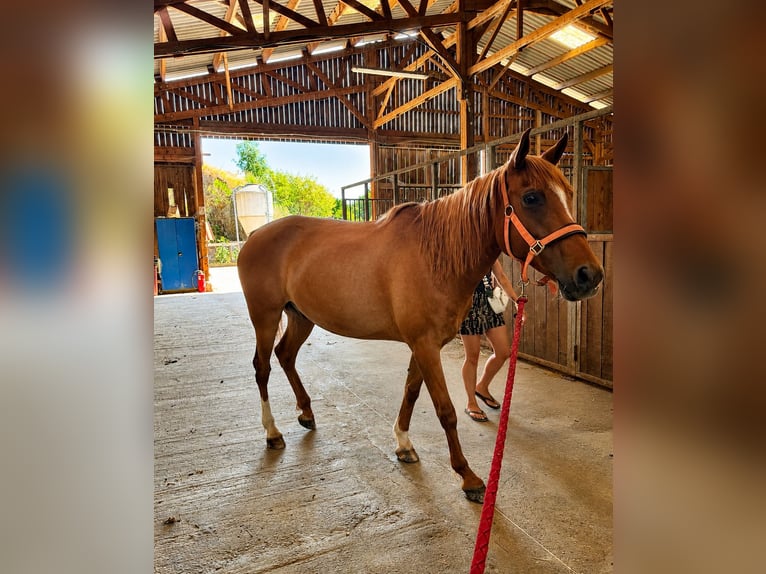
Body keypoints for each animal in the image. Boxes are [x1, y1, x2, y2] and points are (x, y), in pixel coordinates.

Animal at [237, 128, 604, 502]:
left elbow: (411, 392)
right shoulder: (426, 345)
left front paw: (403, 444)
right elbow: (446, 410)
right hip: (264, 316)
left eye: (568, 193)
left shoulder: (424, 344)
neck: (435, 256)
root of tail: (255, 235)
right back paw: (272, 433)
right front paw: (468, 476)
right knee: (262, 367)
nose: (589, 275)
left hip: (301, 316)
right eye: (531, 197)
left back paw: (307, 413)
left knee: (286, 355)